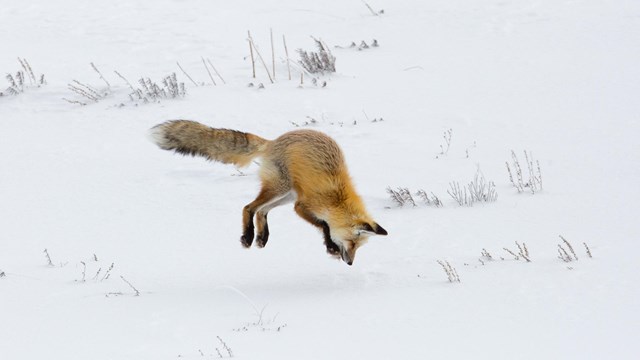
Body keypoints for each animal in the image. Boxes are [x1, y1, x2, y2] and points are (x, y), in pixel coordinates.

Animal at [151, 120, 388, 264]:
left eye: (359, 247)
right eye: (352, 244)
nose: (350, 262)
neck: (337, 199)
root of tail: (273, 141)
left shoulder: (299, 204)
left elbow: (325, 225)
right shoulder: (301, 206)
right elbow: (324, 225)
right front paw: (330, 246)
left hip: (286, 195)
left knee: (262, 211)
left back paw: (261, 237)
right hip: (281, 189)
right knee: (249, 207)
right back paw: (248, 237)